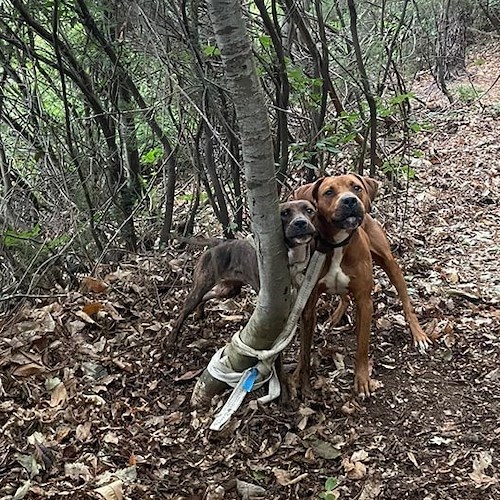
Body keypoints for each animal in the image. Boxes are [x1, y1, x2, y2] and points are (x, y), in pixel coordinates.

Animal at [168, 198, 316, 344]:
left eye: (309, 210)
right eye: (284, 213)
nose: (300, 222)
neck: (292, 254)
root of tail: (217, 242)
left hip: (228, 290)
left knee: (206, 296)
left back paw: (199, 312)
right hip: (201, 287)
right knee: (186, 308)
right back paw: (171, 339)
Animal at [292, 174, 430, 396]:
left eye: (356, 188)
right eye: (329, 192)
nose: (350, 200)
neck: (338, 243)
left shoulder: (365, 302)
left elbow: (363, 345)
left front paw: (363, 379)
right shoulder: (308, 305)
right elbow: (304, 347)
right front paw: (297, 375)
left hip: (389, 262)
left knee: (406, 301)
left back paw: (418, 334)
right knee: (344, 296)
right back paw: (334, 318)